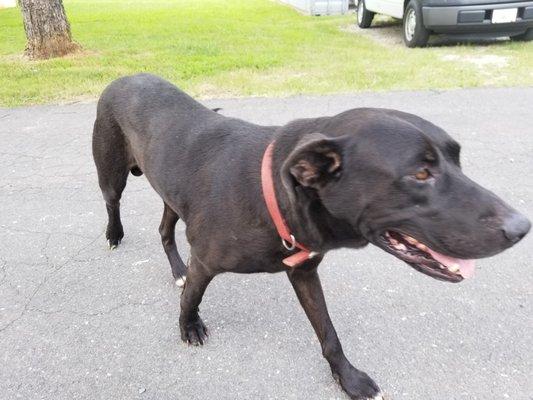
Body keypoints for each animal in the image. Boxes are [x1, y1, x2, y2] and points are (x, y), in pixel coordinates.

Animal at [91, 74, 528, 396]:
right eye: (421, 173)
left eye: (458, 159)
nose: (521, 227)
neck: (273, 192)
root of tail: (124, 77)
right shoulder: (207, 262)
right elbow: (192, 298)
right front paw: (189, 327)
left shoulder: (304, 271)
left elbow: (329, 332)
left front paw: (348, 378)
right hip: (111, 173)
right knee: (113, 203)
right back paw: (114, 234)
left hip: (171, 194)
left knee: (165, 229)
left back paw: (175, 267)